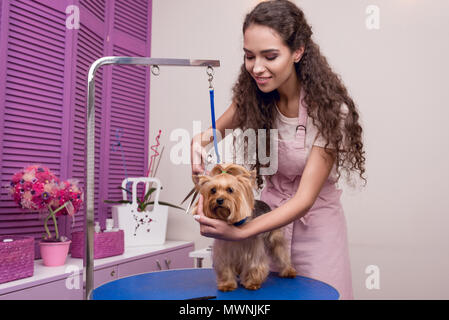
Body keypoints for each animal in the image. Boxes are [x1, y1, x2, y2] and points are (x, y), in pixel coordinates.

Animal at [191, 164, 296, 292]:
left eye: (230, 190)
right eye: (213, 190)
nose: (219, 200)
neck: (234, 223)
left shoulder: (253, 248)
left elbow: (253, 264)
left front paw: (252, 283)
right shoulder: (224, 250)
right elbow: (225, 267)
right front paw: (227, 284)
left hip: (275, 238)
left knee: (281, 252)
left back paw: (288, 271)